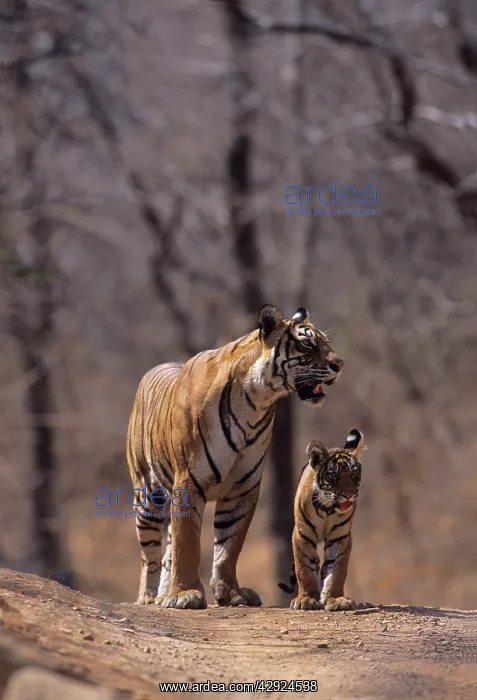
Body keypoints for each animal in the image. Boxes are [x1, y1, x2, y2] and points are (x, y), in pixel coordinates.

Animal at [126, 304, 344, 609]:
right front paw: (186, 594)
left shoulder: (243, 487)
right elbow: (188, 542)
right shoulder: (189, 481)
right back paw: (149, 597)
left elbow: (229, 545)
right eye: (307, 344)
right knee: (150, 555)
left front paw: (230, 593)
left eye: (326, 342)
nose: (340, 364)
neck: (257, 400)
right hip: (148, 495)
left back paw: (162, 594)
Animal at [278, 429, 365, 611]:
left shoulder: (340, 537)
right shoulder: (301, 535)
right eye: (333, 475)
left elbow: (337, 570)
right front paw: (307, 599)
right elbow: (304, 568)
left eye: (353, 473)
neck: (328, 510)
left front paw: (336, 599)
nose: (349, 494)